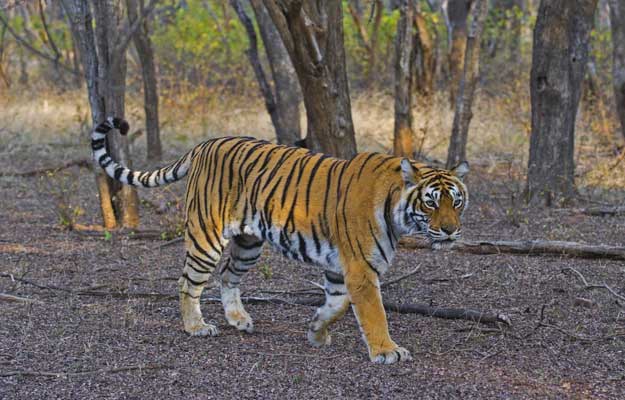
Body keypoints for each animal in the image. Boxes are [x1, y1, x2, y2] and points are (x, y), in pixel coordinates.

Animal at [90, 117, 466, 364]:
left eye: (457, 201)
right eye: (431, 202)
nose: (450, 230)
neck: (396, 211)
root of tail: (204, 144)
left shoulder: (340, 267)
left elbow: (337, 304)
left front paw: (316, 331)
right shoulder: (360, 268)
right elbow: (374, 314)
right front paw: (387, 351)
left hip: (247, 244)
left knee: (227, 276)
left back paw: (239, 319)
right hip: (206, 237)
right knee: (188, 282)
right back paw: (195, 326)